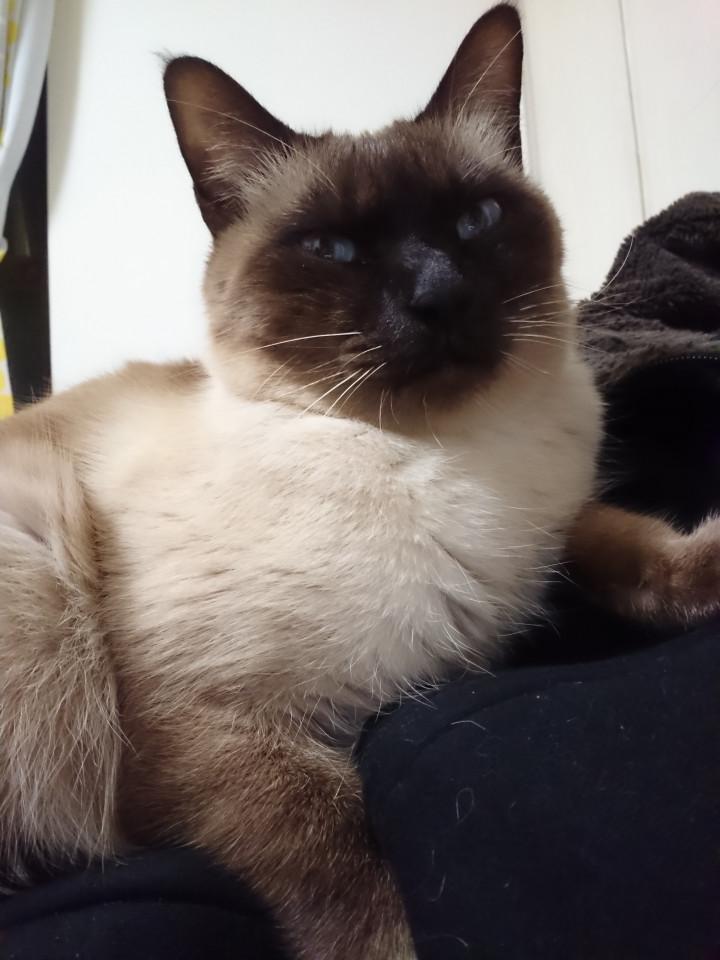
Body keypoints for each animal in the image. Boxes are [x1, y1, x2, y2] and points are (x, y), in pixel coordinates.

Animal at [1, 5, 718, 958]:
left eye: (475, 219)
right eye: (334, 248)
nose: (437, 296)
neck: (444, 453)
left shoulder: (548, 535)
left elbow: (628, 539)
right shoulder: (207, 721)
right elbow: (344, 863)